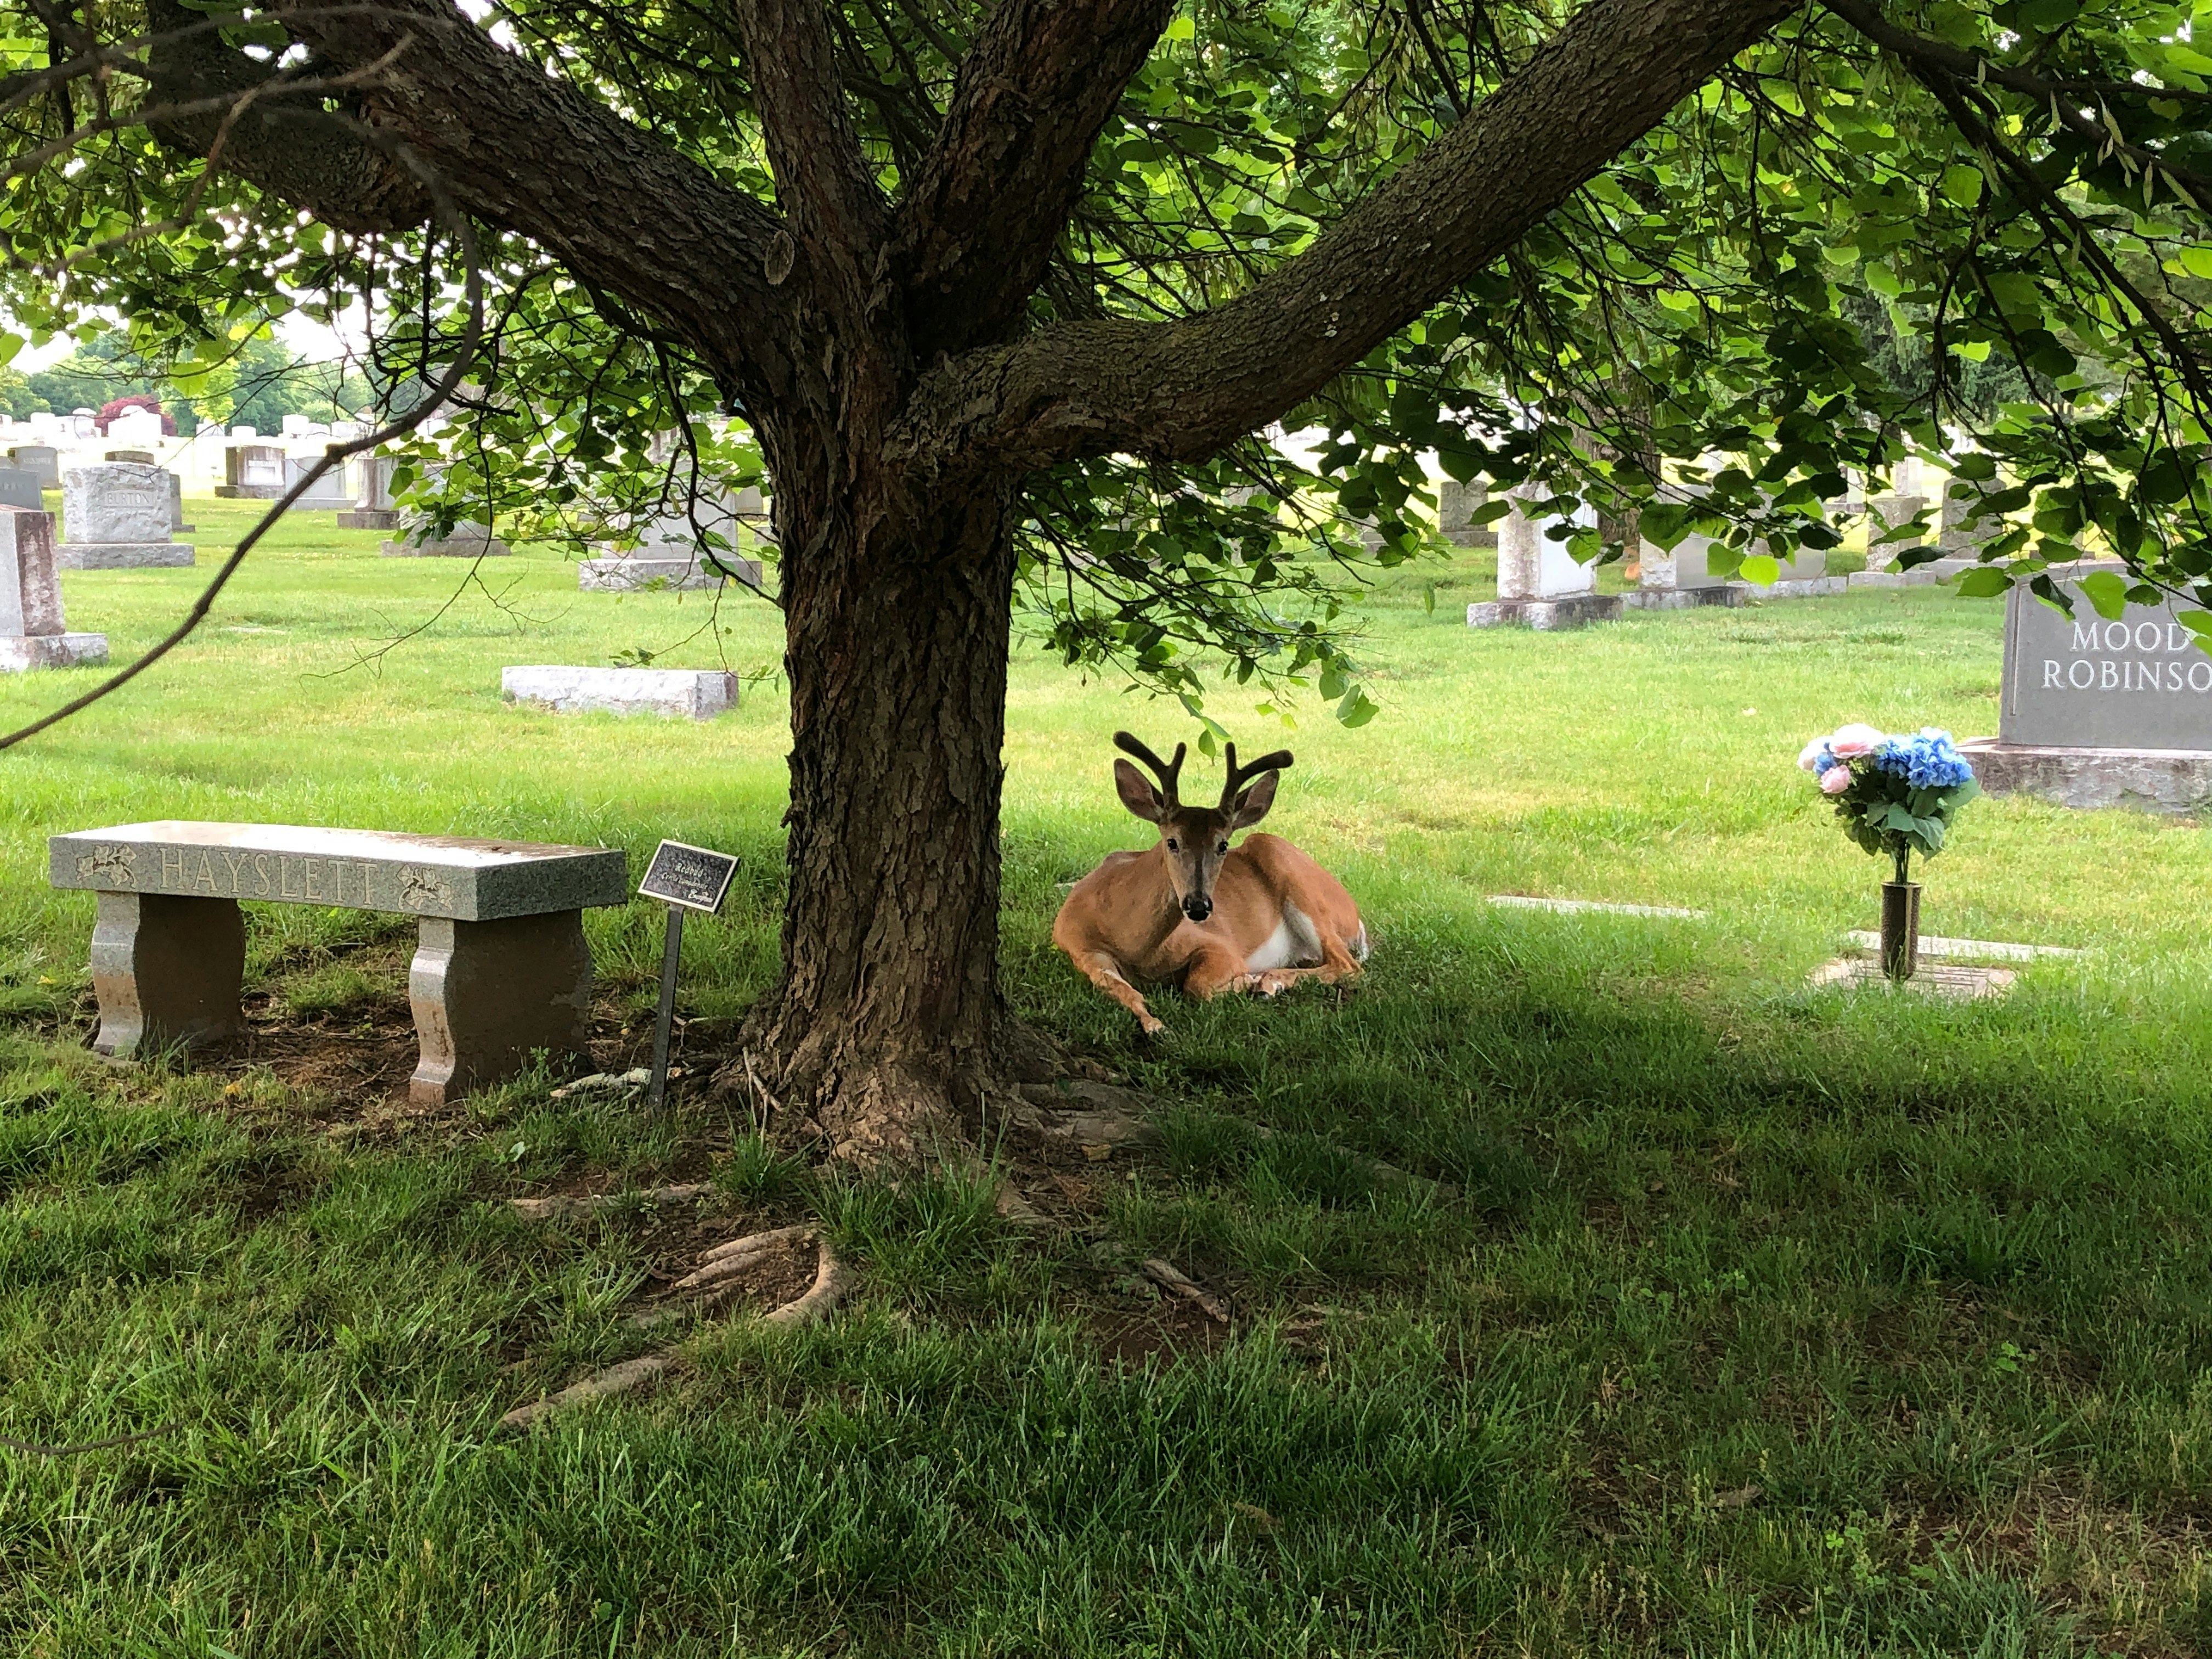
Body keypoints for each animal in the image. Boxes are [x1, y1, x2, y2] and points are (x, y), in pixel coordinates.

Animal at [1053, 734, 1362, 1035]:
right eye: (1172, 842)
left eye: (1223, 845)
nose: (1198, 905)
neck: (1137, 950)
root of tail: (1355, 915)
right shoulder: (1080, 948)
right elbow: (1122, 990)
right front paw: (1154, 1025)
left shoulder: (1218, 944)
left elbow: (1197, 986)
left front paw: (1250, 980)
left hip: (1294, 878)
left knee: (1347, 964)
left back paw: (1268, 983)